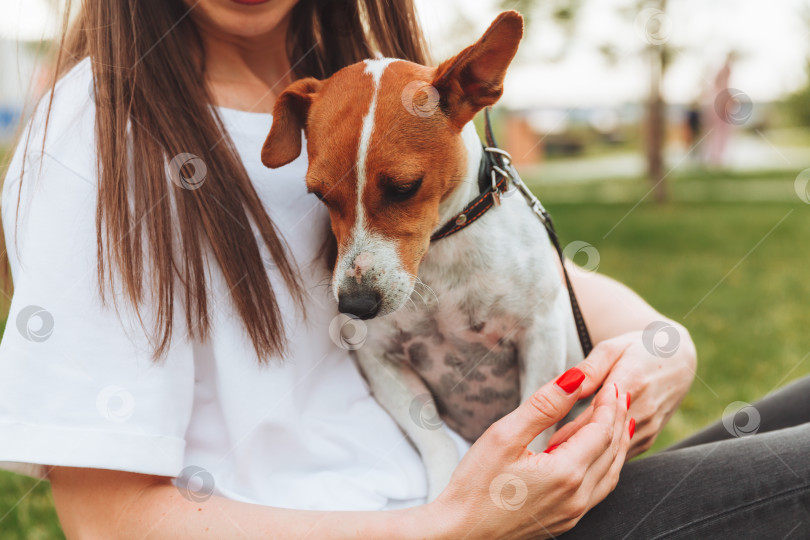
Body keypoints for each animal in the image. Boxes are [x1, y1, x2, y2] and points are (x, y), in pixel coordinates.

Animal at [258, 10, 580, 500]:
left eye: (404, 188)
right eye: (318, 195)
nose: (355, 305)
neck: (442, 247)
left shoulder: (541, 338)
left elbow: (532, 429)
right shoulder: (381, 360)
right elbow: (434, 440)